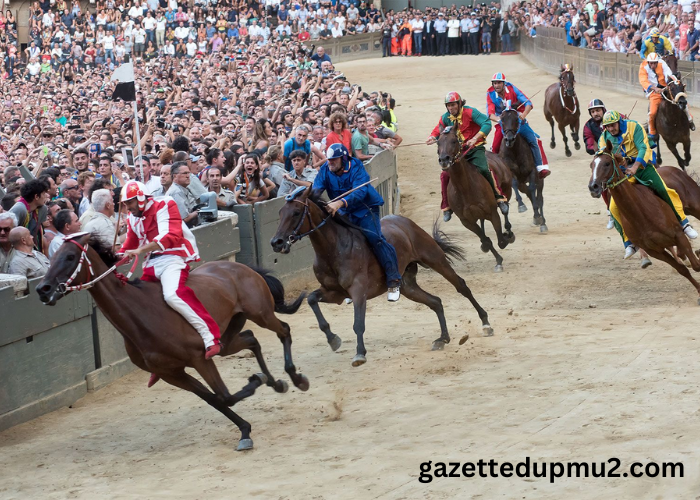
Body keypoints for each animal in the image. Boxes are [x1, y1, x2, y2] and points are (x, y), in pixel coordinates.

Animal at [35, 234, 308, 454]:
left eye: (70, 256)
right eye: (51, 256)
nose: (42, 288)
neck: (142, 314)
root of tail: (239, 265)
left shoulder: (199, 358)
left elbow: (225, 396)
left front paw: (255, 382)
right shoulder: (171, 373)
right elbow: (216, 399)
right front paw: (244, 429)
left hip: (261, 313)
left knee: (284, 330)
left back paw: (296, 378)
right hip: (227, 337)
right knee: (251, 338)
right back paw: (276, 382)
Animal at [268, 186, 492, 366]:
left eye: (296, 212)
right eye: (280, 212)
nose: (276, 242)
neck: (334, 249)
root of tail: (405, 221)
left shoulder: (358, 291)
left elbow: (358, 323)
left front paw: (359, 354)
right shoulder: (334, 292)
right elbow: (312, 299)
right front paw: (333, 339)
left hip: (435, 259)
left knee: (461, 286)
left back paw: (486, 323)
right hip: (408, 285)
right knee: (435, 301)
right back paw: (442, 338)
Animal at [438, 125, 516, 274]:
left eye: (454, 141)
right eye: (438, 142)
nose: (444, 159)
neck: (465, 187)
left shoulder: (492, 213)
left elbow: (500, 240)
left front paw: (505, 239)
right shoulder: (466, 221)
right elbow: (486, 240)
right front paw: (498, 260)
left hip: (507, 191)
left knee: (505, 210)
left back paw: (509, 231)